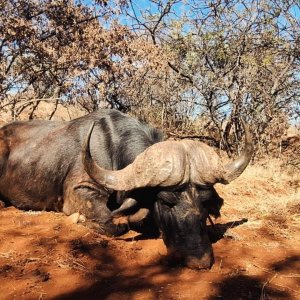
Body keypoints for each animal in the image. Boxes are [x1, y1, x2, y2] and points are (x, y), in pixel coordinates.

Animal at [0, 109, 253, 268]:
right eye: (166, 201)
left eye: (204, 203)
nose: (199, 261)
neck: (111, 147)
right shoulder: (80, 192)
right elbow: (116, 223)